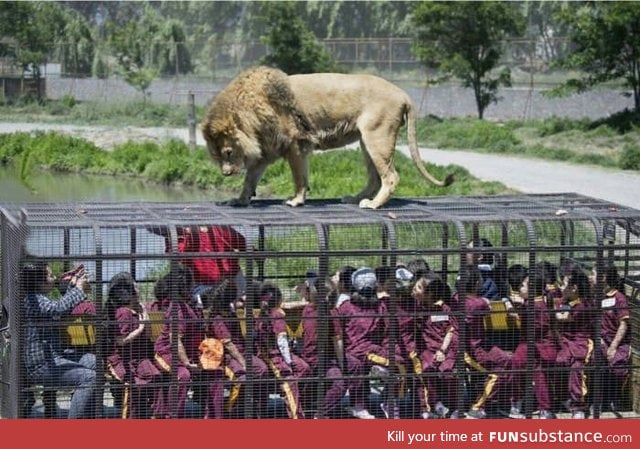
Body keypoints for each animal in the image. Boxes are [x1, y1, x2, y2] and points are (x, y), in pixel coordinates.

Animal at [202, 65, 452, 209]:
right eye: (217, 156)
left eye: (228, 152)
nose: (225, 173)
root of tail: (404, 94)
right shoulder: (266, 151)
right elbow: (249, 180)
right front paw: (239, 200)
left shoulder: (295, 145)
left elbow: (299, 177)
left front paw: (296, 200)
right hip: (366, 141)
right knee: (374, 178)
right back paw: (355, 198)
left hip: (377, 137)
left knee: (390, 177)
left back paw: (373, 204)